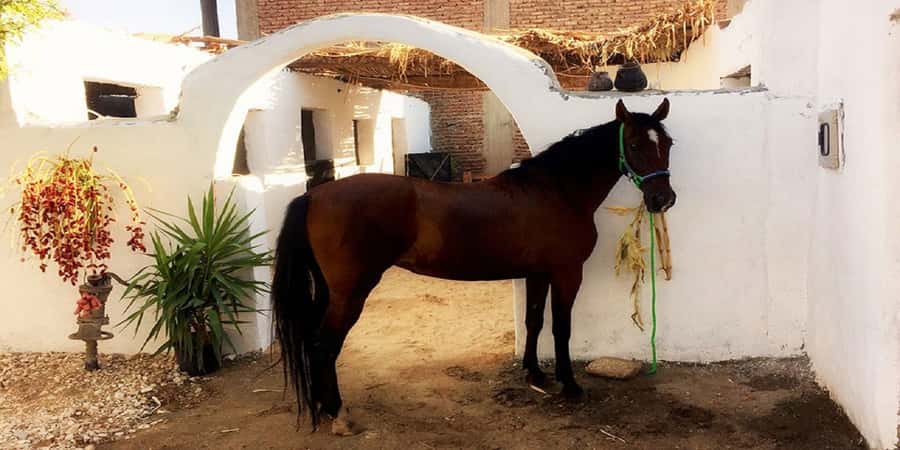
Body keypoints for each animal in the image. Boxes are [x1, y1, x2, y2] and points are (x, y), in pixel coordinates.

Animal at [271, 98, 676, 435]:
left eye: (667, 144)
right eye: (635, 145)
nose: (663, 199)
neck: (557, 192)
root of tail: (314, 195)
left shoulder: (538, 273)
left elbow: (534, 320)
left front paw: (535, 373)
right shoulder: (566, 272)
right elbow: (561, 328)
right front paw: (570, 384)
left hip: (330, 291)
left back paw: (323, 407)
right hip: (350, 292)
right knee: (324, 345)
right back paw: (338, 414)